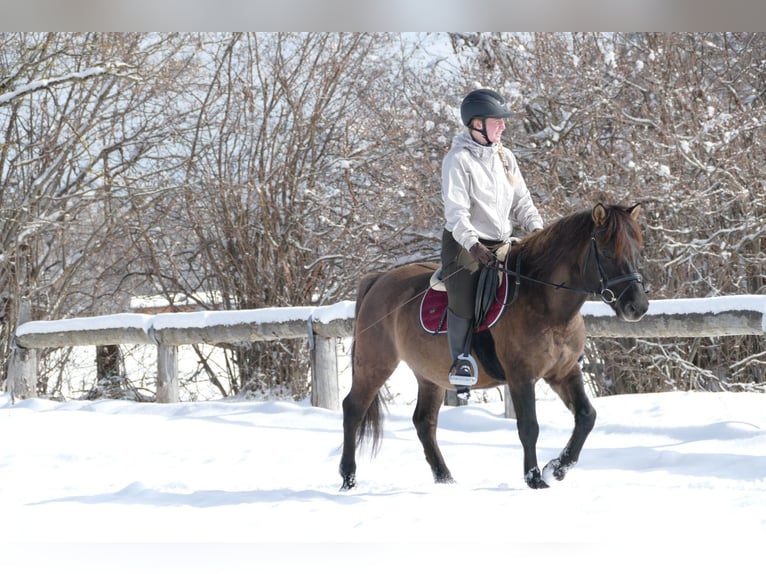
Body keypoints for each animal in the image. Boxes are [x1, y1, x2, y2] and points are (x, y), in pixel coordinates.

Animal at [340, 202, 648, 490]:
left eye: (637, 251)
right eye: (607, 252)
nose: (638, 306)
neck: (543, 302)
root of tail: (379, 279)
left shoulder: (564, 371)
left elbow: (586, 417)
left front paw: (557, 468)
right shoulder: (521, 376)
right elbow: (529, 426)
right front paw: (535, 478)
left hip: (430, 375)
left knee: (424, 422)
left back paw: (445, 479)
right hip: (375, 363)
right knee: (353, 409)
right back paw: (348, 478)